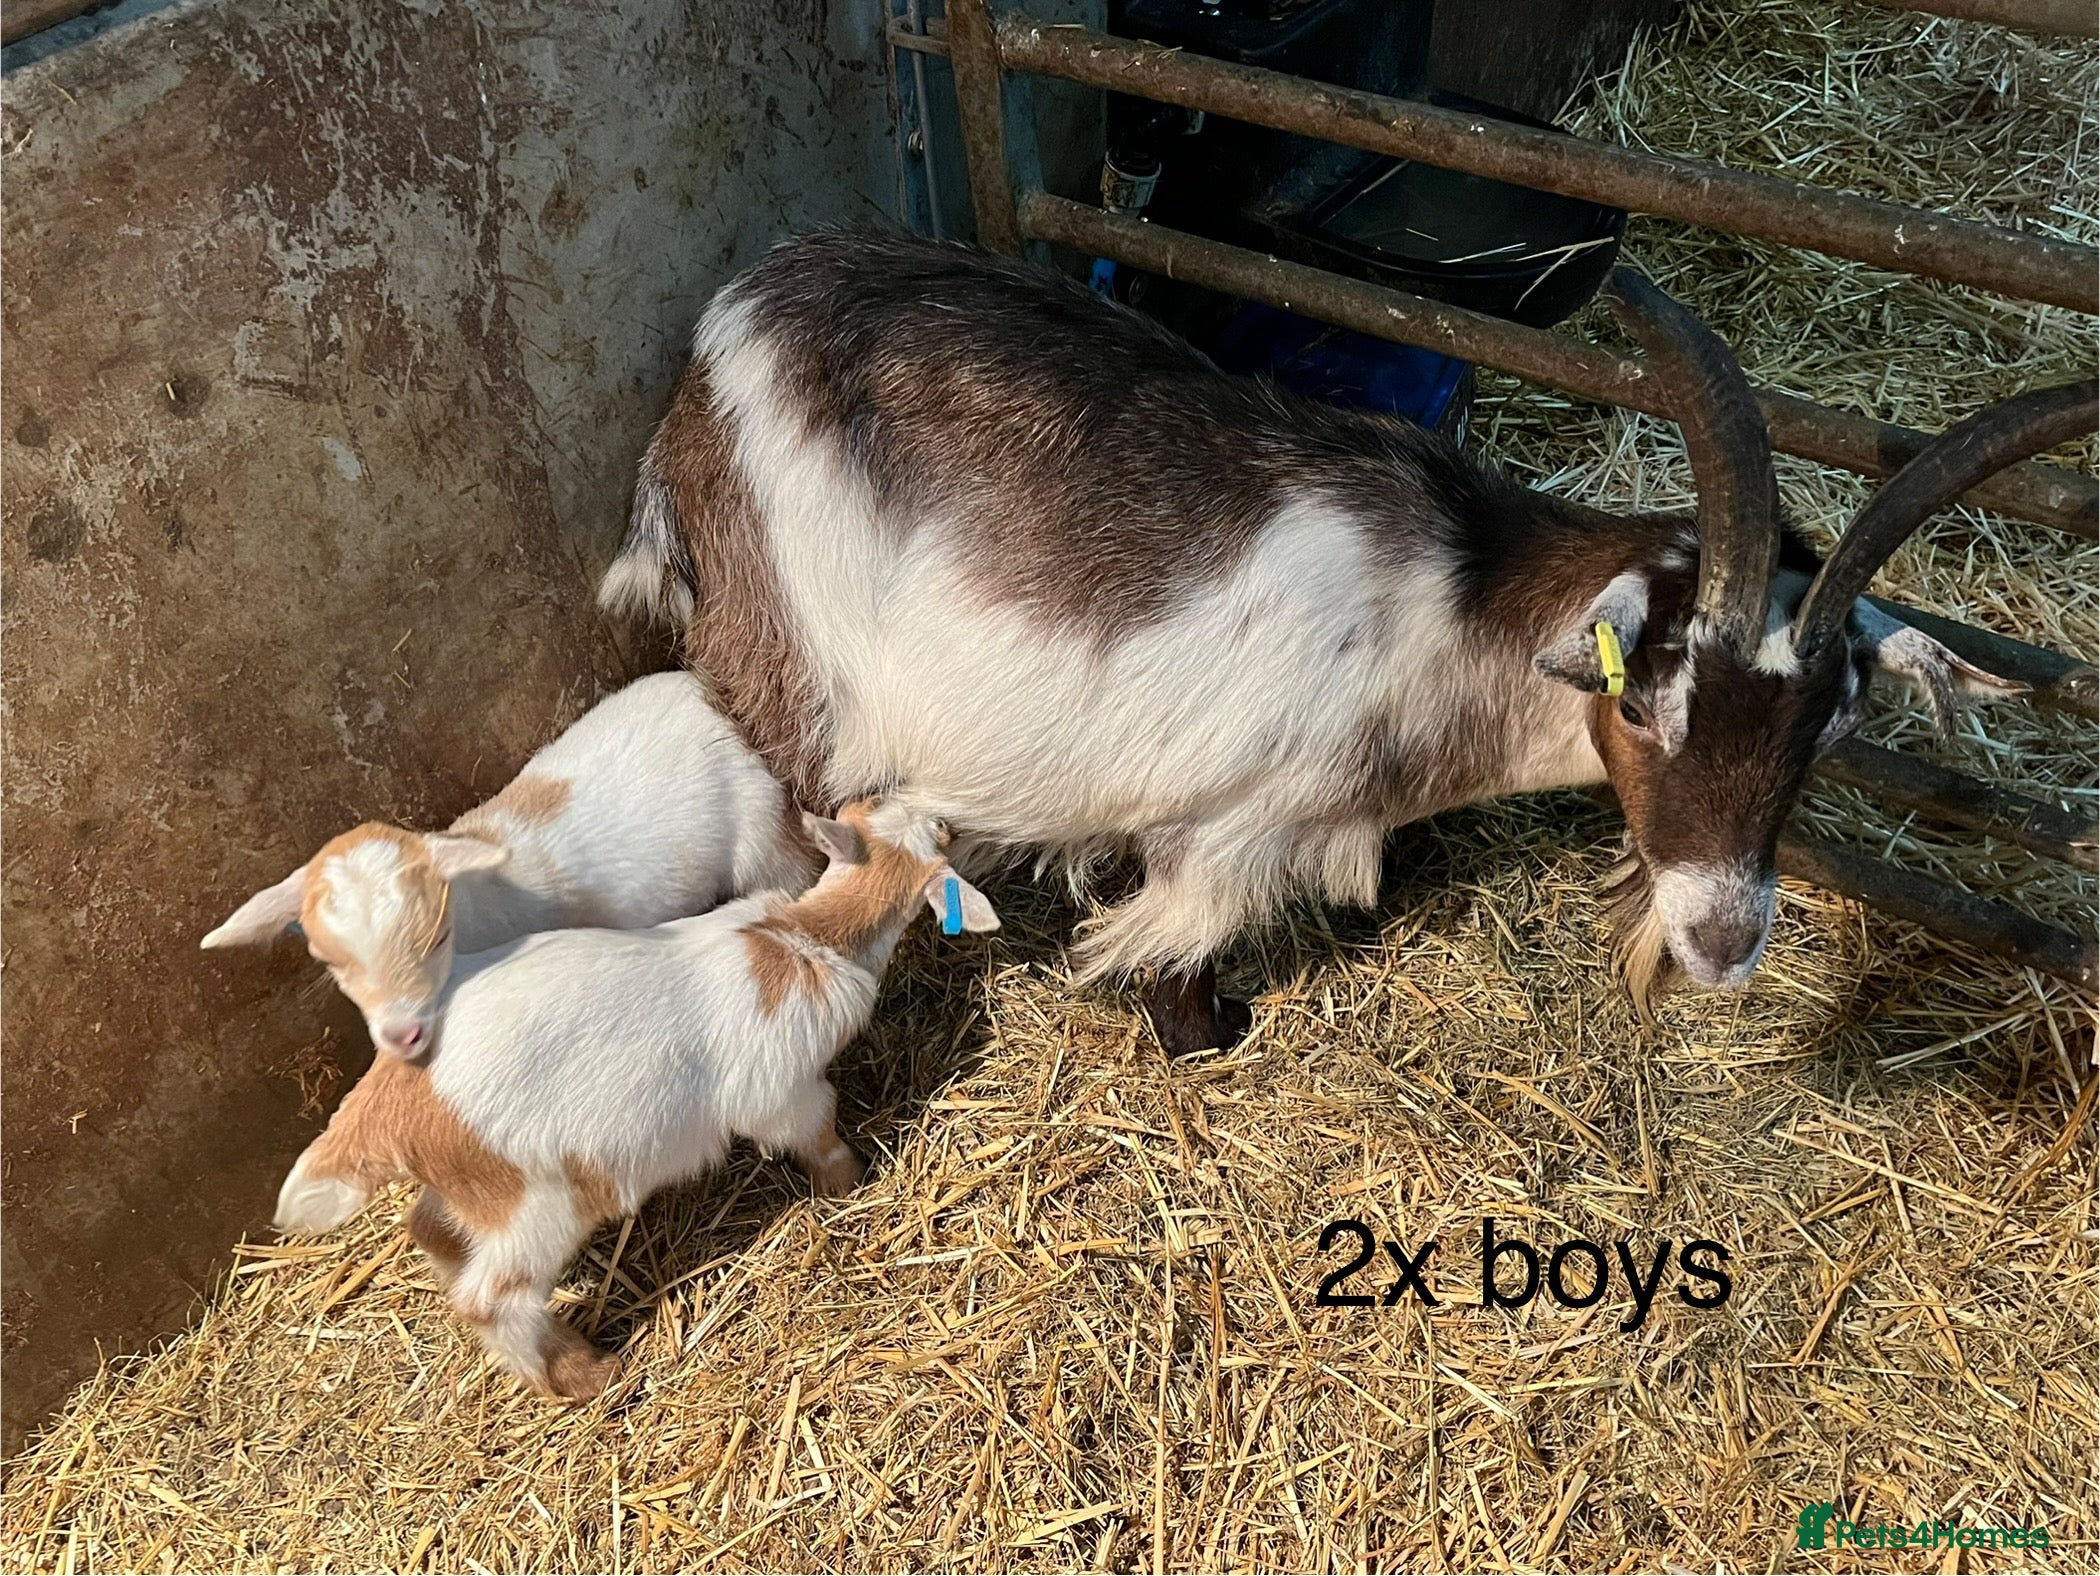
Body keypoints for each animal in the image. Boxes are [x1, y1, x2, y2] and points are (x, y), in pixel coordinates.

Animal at [273, 798, 999, 1400]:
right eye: (943, 836)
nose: (947, 814)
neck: (806, 938)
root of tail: (394, 1092)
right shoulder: (783, 1091)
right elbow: (817, 1133)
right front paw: (849, 1183)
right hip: (536, 1203)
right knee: (490, 1299)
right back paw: (585, 1377)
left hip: (477, 1185)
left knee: (426, 1226)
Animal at [601, 230, 2089, 1052]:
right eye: (1644, 701)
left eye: (1827, 724)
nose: (1723, 940)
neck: (1453, 604)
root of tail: (711, 354)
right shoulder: (1217, 822)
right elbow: (1178, 945)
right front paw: (1207, 1034)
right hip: (799, 673)